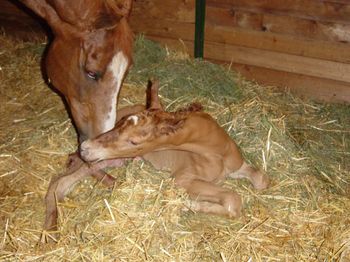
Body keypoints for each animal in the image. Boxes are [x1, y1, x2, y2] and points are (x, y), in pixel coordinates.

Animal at [80, 81, 270, 217]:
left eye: (134, 141)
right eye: (120, 123)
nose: (85, 148)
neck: (217, 153)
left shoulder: (236, 166)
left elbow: (260, 180)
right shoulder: (182, 179)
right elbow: (232, 198)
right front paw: (189, 205)